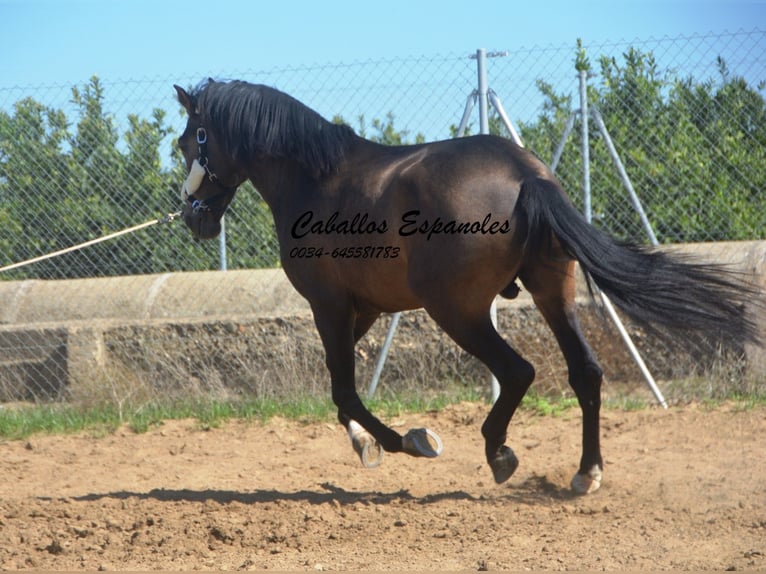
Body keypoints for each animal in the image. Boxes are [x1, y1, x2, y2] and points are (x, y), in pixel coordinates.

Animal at [174, 80, 760, 496]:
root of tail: (526, 176)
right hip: (551, 292)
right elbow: (340, 388)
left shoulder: (330, 306)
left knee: (518, 372)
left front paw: (408, 441)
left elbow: (344, 389)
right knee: (586, 373)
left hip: (457, 311)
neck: (317, 179)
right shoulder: (362, 309)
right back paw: (586, 474)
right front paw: (367, 444)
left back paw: (499, 454)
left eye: (186, 141)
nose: (193, 216)